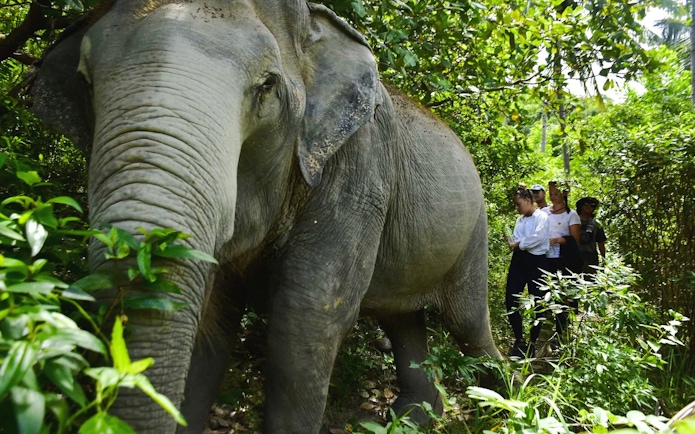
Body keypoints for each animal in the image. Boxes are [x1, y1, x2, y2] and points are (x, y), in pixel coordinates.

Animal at [29, 0, 502, 432]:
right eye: (85, 82)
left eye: (268, 86)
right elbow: (212, 317)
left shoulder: (360, 173)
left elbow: (307, 317)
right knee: (403, 319)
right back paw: (416, 417)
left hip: (474, 232)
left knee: (467, 323)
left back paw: (502, 403)